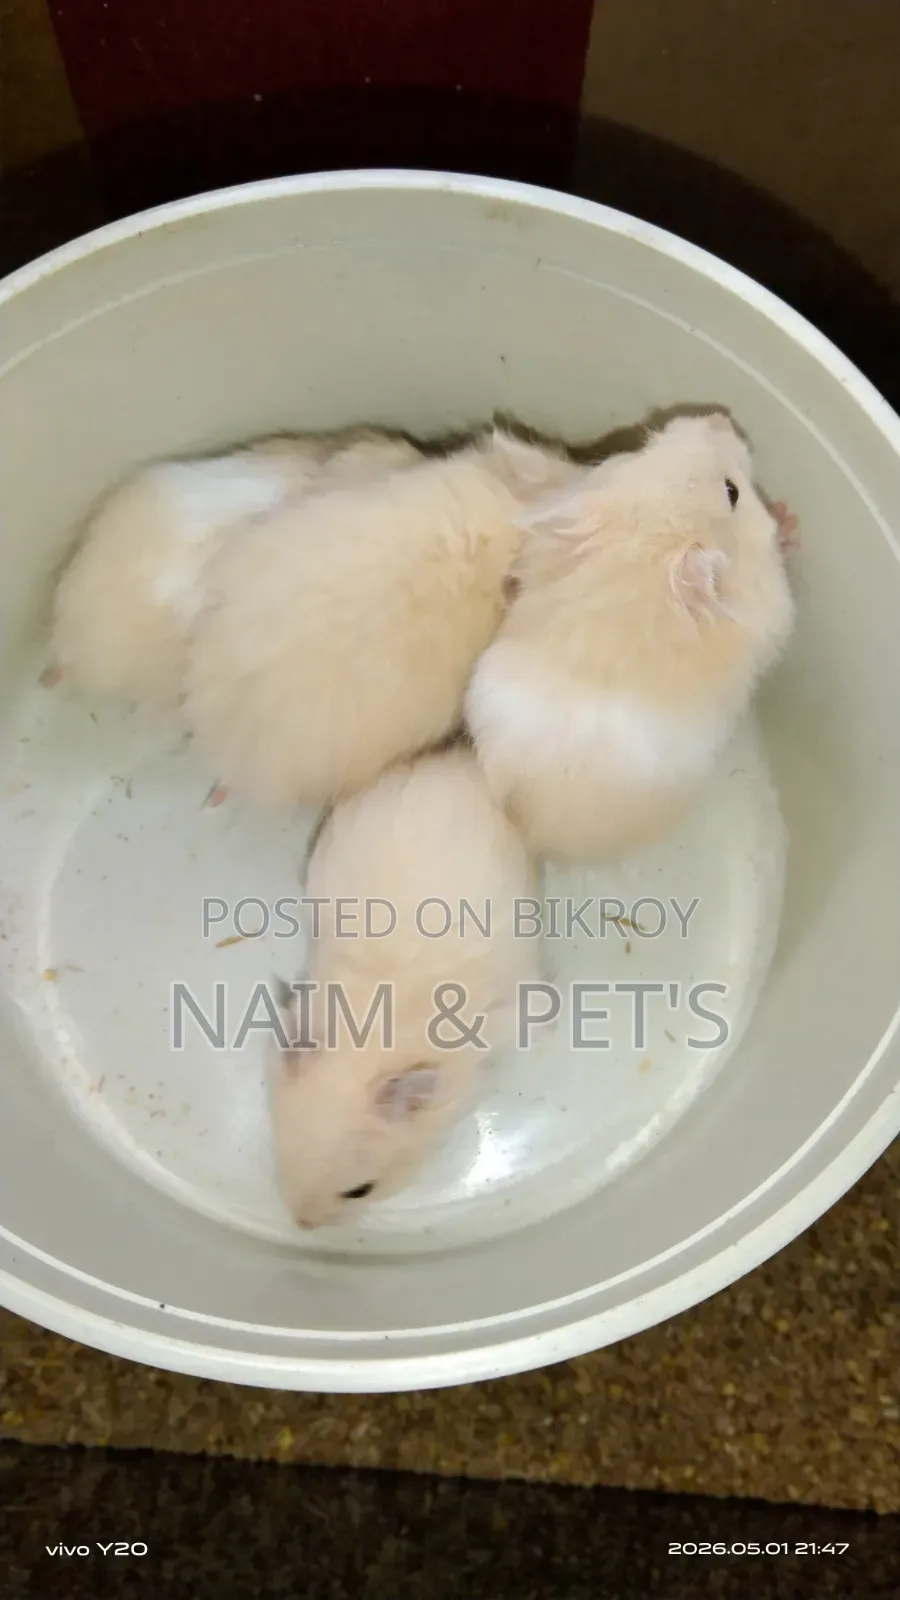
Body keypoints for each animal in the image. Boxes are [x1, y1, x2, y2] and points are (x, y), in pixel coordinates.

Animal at [464, 412, 796, 862]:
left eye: (640, 449)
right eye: (732, 491)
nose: (721, 416)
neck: (648, 548)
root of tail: (533, 832)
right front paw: (787, 522)